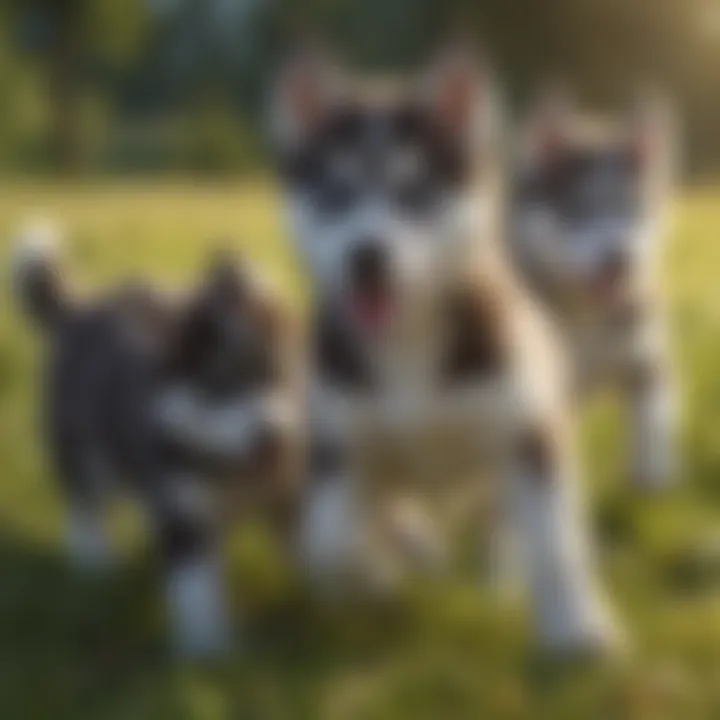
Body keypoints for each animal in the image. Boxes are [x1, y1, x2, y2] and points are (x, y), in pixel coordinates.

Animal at [13, 226, 300, 660]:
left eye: (279, 376)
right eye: (223, 385)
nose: (274, 440)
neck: (228, 473)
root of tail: (81, 311)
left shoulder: (282, 497)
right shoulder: (185, 517)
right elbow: (197, 590)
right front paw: (210, 652)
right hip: (83, 451)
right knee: (84, 505)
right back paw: (93, 565)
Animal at [272, 45, 624, 652]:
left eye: (415, 193)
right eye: (337, 194)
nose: (367, 257)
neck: (407, 340)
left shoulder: (527, 429)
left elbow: (554, 542)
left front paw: (576, 628)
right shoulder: (337, 440)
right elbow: (328, 541)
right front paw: (370, 576)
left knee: (504, 521)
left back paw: (498, 574)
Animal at [510, 91, 676, 490]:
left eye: (632, 209)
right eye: (578, 210)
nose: (620, 259)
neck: (589, 316)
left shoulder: (645, 352)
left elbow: (652, 416)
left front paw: (653, 482)